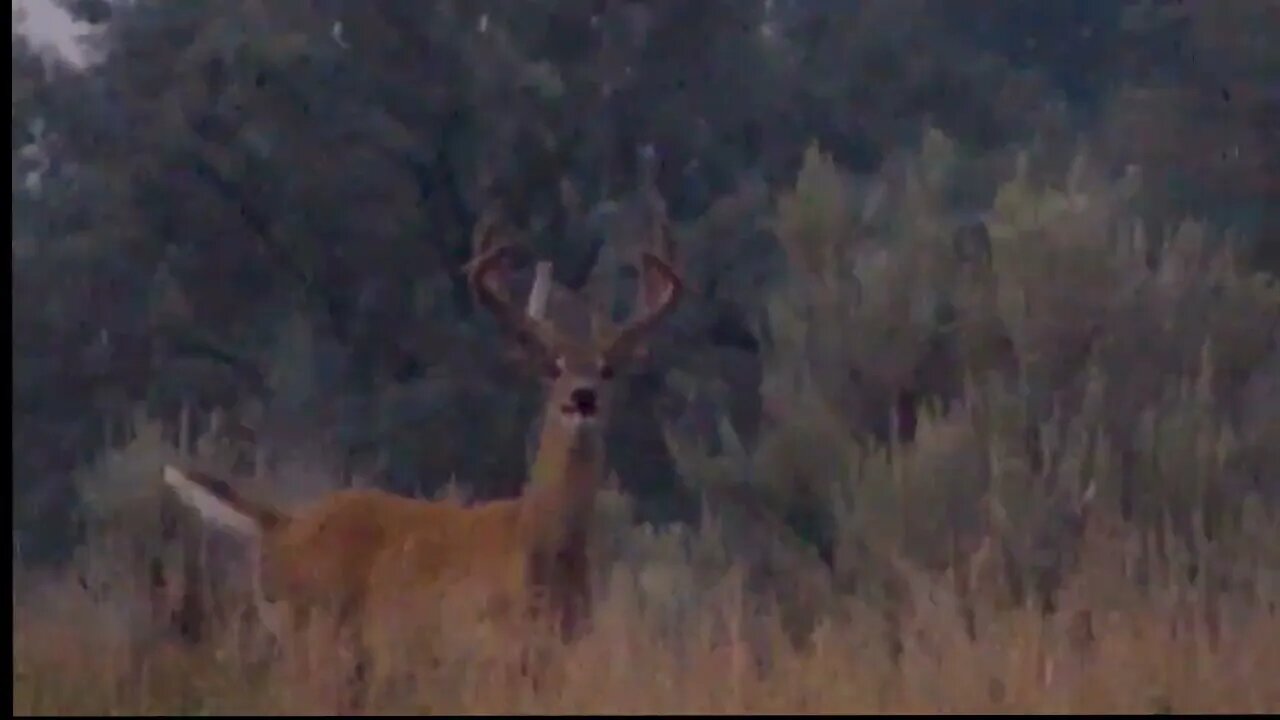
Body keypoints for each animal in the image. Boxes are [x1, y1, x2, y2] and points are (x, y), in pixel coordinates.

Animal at [162, 204, 691, 696]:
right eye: (552, 366)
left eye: (607, 369)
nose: (582, 397)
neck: (541, 543)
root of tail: (281, 524)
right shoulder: (491, 650)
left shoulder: (558, 654)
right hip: (315, 637)